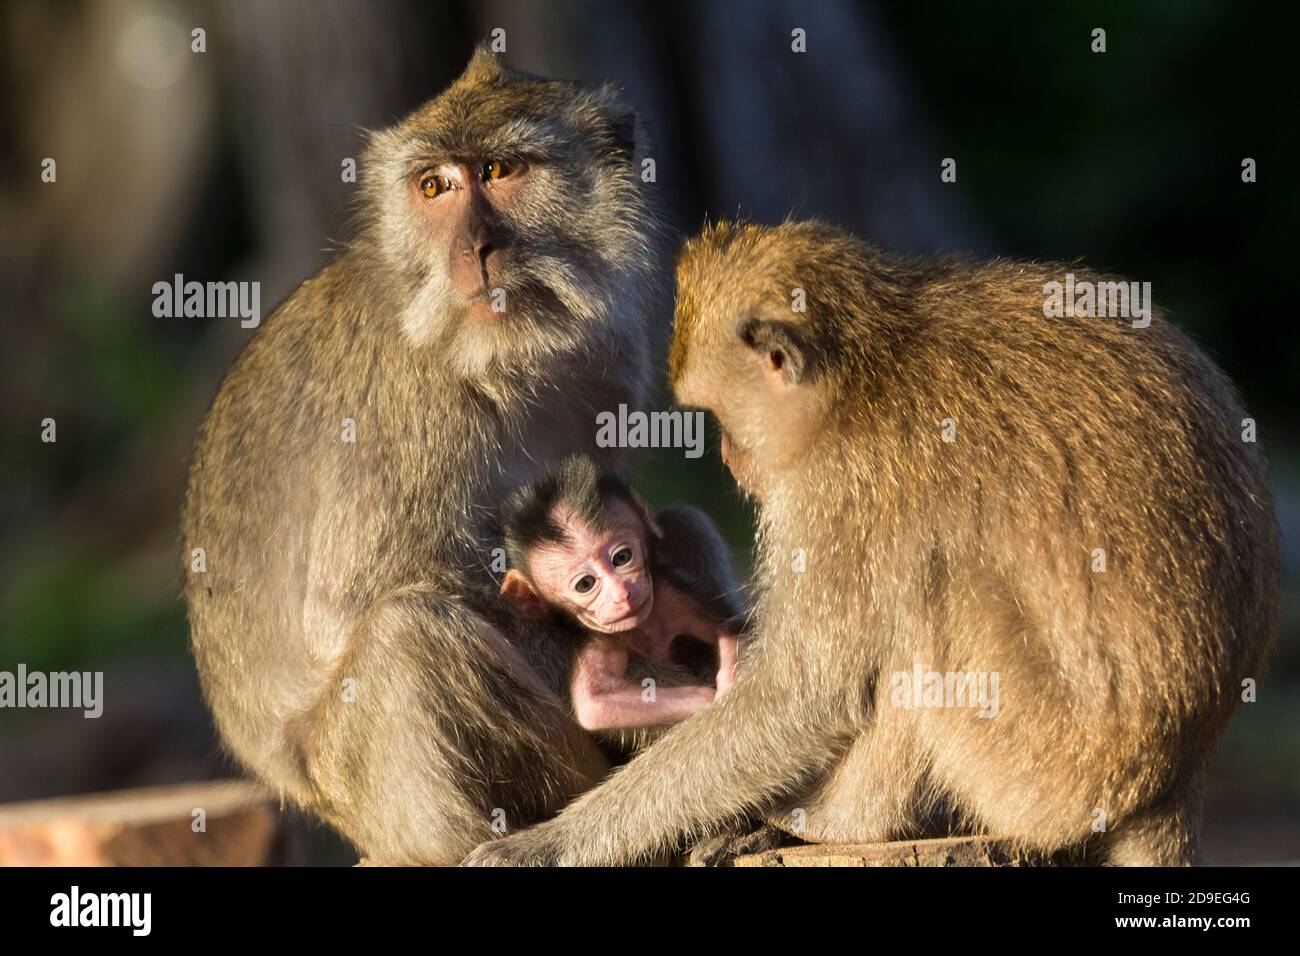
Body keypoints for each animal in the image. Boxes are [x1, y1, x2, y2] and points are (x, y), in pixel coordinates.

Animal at [179, 46, 665, 868]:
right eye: (433, 186)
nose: (475, 250)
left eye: (499, 169)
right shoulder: (405, 411)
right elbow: (347, 608)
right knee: (402, 637)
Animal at [496, 452, 743, 738]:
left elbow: (729, 627)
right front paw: (709, 697)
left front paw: (729, 681)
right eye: (585, 584)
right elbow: (597, 704)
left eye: (622, 557)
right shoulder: (599, 636)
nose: (621, 593)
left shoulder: (671, 595)